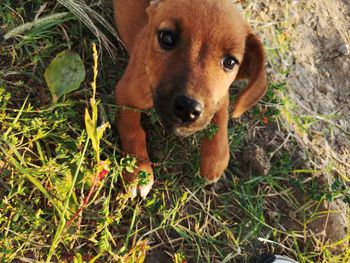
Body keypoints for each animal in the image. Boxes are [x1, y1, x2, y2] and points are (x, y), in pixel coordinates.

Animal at [113, 0, 266, 198]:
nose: (188, 108)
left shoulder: (219, 95)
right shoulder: (127, 93)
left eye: (230, 62)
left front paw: (215, 158)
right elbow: (132, 129)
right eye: (167, 38)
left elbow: (222, 112)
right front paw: (138, 170)